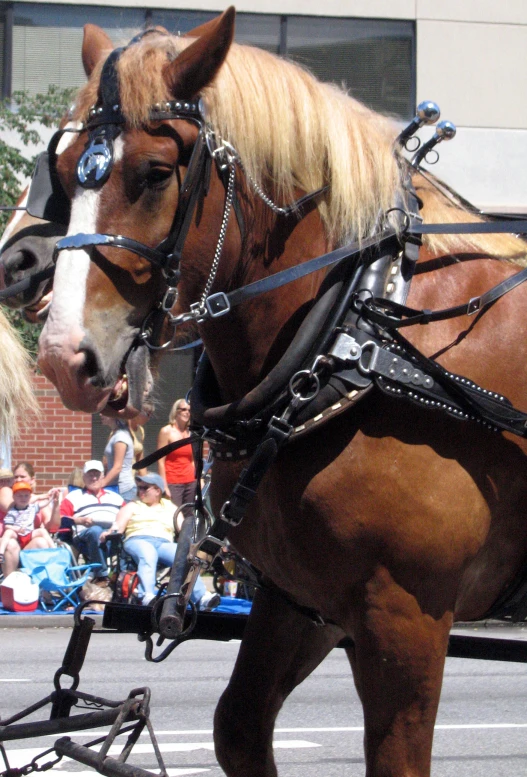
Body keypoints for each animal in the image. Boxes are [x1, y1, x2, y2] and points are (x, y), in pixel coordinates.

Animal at [36, 7, 527, 776]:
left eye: (154, 174)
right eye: (62, 176)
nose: (61, 357)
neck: (353, 337)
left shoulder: (405, 612)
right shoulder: (302, 598)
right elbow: (238, 724)